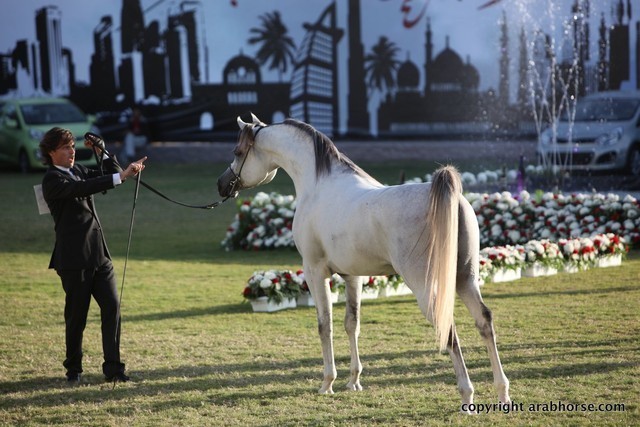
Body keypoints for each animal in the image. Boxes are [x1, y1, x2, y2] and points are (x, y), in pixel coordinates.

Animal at [217, 114, 510, 408]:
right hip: (465, 279)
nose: (222, 184)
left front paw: (328, 383)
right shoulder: (353, 276)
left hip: (427, 287)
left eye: (237, 152)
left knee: (447, 328)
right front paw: (354, 381)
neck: (319, 186)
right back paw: (502, 392)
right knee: (484, 320)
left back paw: (467, 393)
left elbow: (325, 325)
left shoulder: (315, 271)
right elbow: (352, 324)